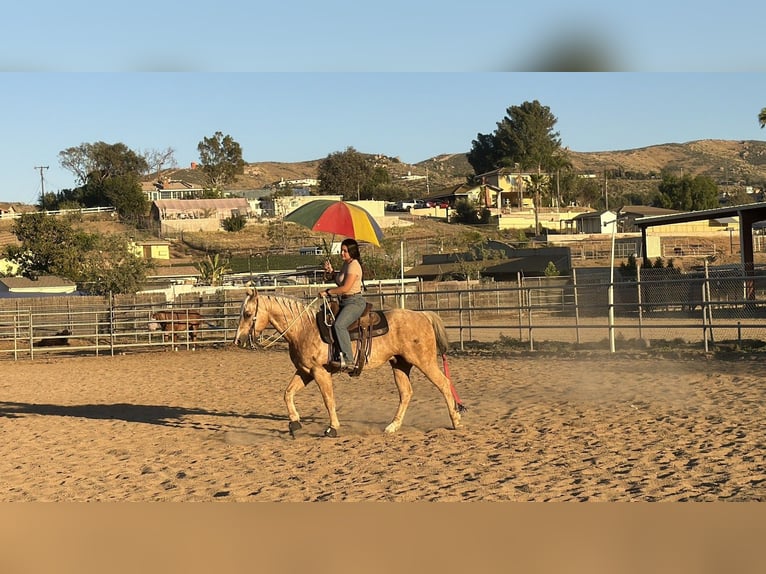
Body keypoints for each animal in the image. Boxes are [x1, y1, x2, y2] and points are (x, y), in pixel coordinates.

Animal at [233, 286, 464, 437]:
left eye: (247, 314)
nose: (238, 341)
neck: (304, 329)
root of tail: (423, 315)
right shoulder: (305, 371)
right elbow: (287, 393)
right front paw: (294, 423)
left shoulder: (320, 372)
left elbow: (329, 400)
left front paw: (332, 428)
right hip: (400, 364)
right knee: (406, 393)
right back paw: (392, 427)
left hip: (424, 361)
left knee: (444, 384)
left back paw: (456, 421)